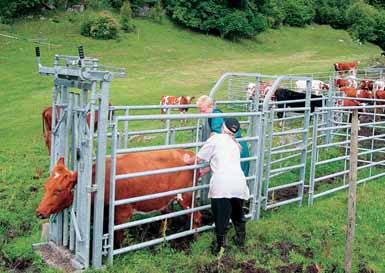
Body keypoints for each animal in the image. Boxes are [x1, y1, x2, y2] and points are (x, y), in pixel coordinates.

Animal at [35, 150, 201, 241]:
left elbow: (118, 236)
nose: (39, 212)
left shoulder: (122, 213)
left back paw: (194, 239)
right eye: (46, 187)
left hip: (187, 196)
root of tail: (190, 154)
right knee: (166, 216)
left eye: (59, 190)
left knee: (196, 217)